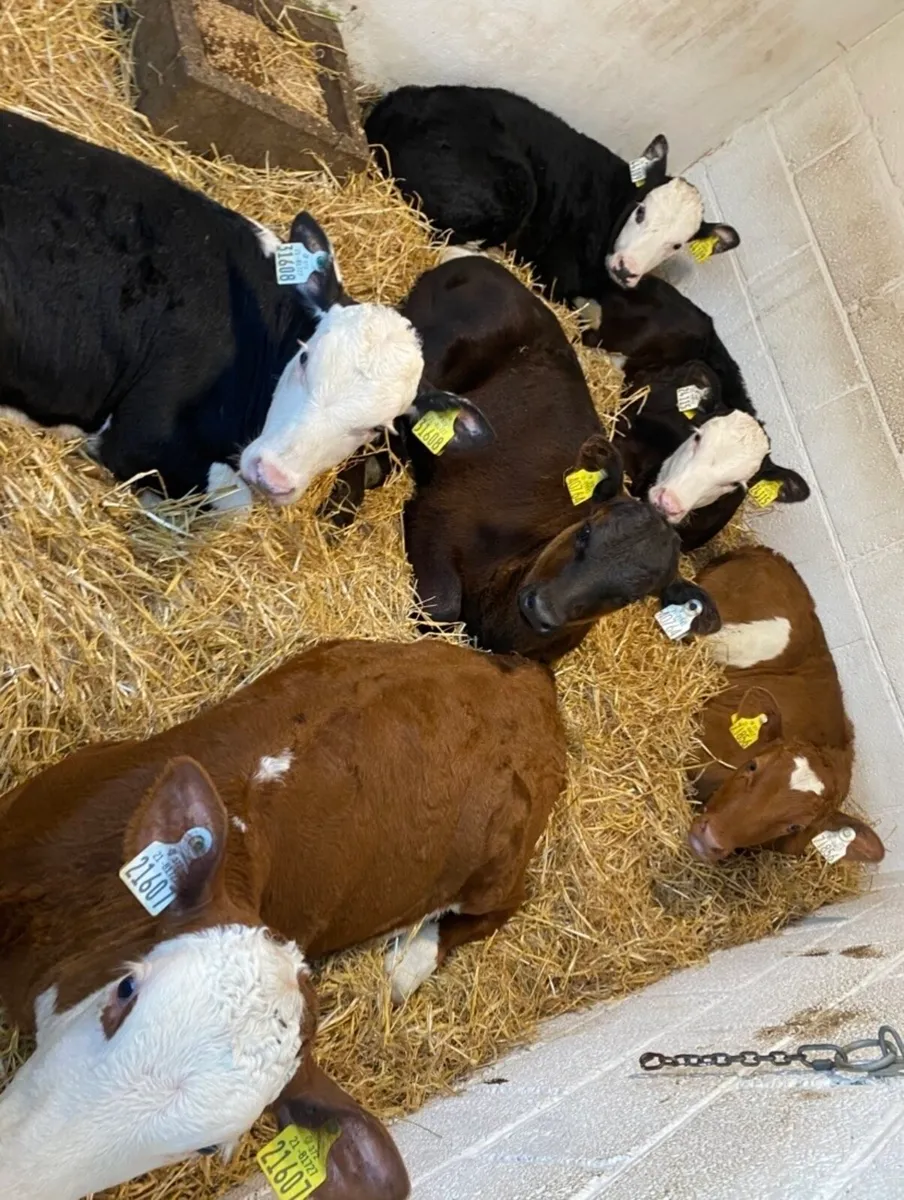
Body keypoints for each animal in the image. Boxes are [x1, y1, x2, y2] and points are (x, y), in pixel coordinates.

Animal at [0, 637, 566, 1200]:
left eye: (209, 1147)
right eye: (125, 988)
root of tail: (531, 684)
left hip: (498, 868)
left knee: (498, 907)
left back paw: (407, 964)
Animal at [323, 253, 720, 662]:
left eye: (631, 597)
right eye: (585, 531)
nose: (542, 608)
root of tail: (480, 264)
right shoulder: (441, 511)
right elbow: (441, 608)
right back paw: (340, 507)